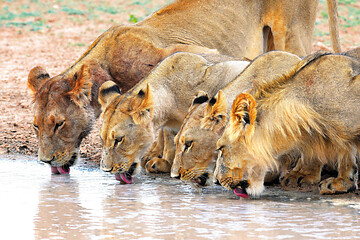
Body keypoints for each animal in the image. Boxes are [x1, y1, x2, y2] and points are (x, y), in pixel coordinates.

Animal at [98, 52, 250, 183]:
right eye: (102, 138)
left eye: (119, 140)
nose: (106, 170)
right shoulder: (173, 126)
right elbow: (170, 140)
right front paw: (166, 163)